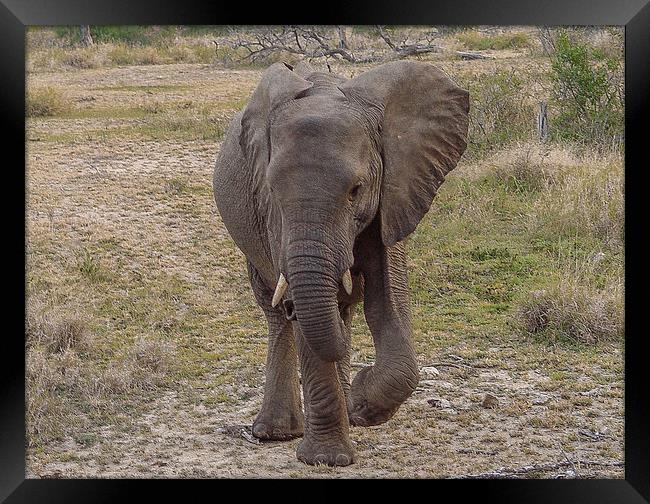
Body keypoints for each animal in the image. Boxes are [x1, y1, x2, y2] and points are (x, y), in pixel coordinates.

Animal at [213, 58, 466, 464]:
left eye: (356, 190)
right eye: (272, 189)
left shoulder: (394, 193)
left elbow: (387, 300)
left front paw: (361, 405)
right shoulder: (272, 219)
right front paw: (326, 459)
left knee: (342, 311)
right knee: (276, 313)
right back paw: (275, 432)